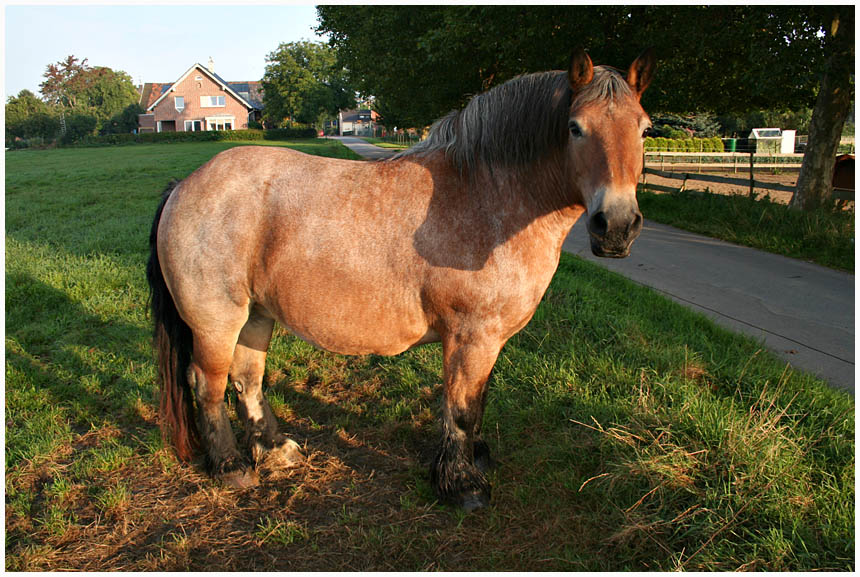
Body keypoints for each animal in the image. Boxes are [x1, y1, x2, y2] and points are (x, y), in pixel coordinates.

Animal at [148, 48, 656, 508]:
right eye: (575, 127)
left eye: (644, 127)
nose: (616, 226)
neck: (487, 195)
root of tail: (184, 186)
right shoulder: (471, 337)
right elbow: (462, 408)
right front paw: (462, 484)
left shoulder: (488, 340)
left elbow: (478, 402)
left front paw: (473, 459)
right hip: (217, 322)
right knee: (208, 384)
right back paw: (231, 467)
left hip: (256, 315)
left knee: (247, 379)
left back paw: (273, 450)